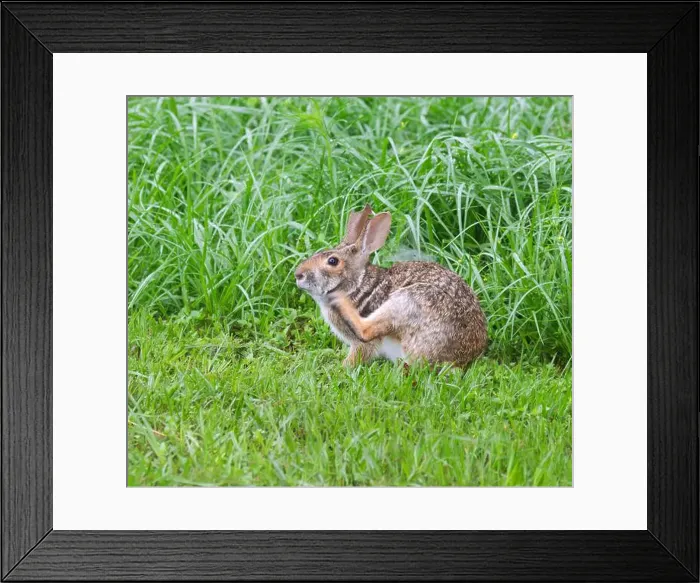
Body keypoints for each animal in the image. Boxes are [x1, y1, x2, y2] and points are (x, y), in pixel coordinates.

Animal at [294, 205, 487, 367]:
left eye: (333, 261)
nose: (298, 274)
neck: (356, 284)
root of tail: (462, 357)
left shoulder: (361, 344)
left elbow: (362, 349)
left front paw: (343, 367)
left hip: (408, 300)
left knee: (366, 330)